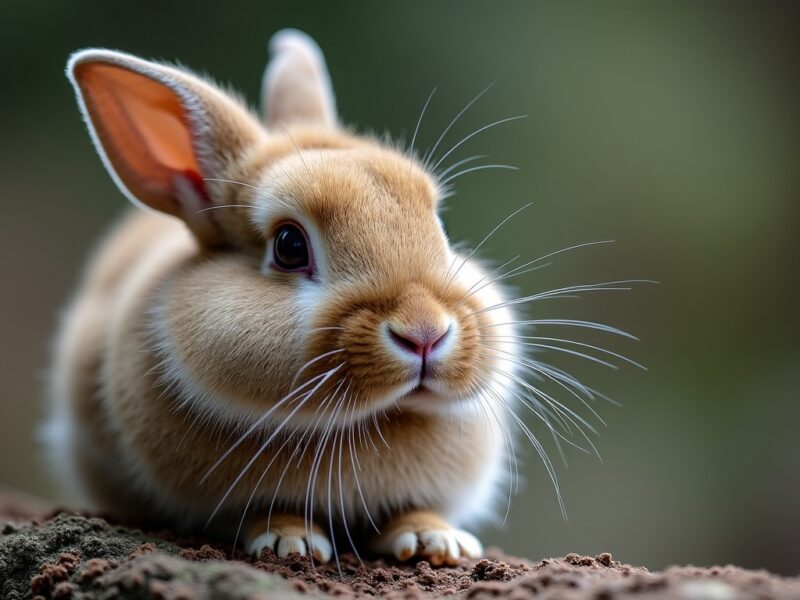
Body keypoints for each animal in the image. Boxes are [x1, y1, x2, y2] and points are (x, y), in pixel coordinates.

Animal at [44, 29, 530, 566]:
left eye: (439, 227)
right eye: (290, 246)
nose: (425, 332)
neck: (369, 421)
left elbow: (414, 510)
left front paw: (435, 541)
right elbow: (267, 512)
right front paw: (288, 543)